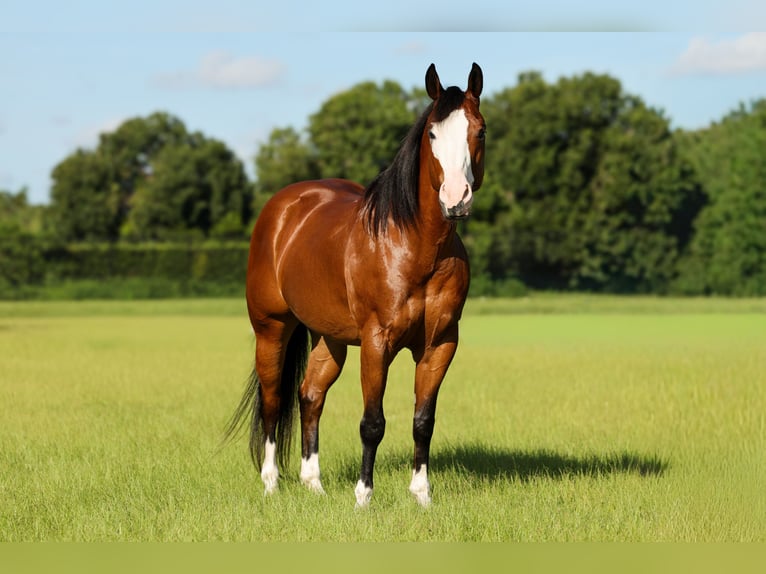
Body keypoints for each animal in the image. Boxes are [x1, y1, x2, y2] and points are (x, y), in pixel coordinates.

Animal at [226, 63, 485, 507]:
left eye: (480, 131)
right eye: (432, 134)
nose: (456, 198)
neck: (415, 246)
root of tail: (283, 208)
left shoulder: (439, 345)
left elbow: (423, 421)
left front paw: (422, 495)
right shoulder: (376, 342)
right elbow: (373, 422)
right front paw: (363, 496)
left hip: (329, 338)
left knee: (310, 394)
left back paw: (314, 484)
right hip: (271, 328)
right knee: (273, 401)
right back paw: (272, 483)